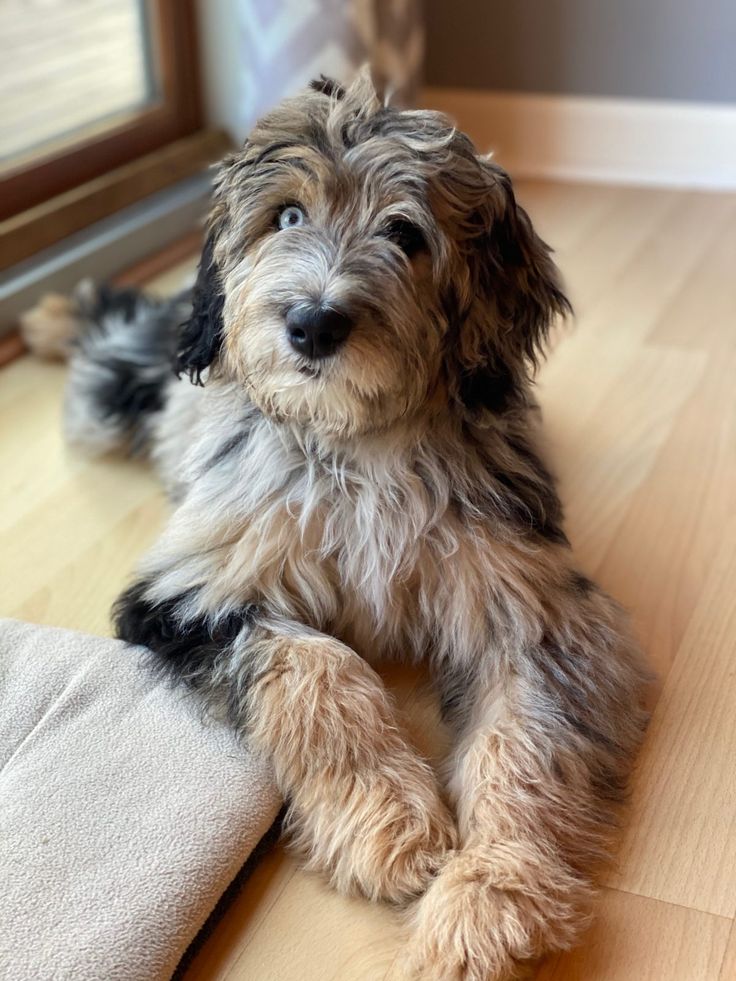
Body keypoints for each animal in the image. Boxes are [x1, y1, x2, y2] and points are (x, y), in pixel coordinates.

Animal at [27, 71, 648, 980]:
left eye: (406, 233)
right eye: (287, 216)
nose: (313, 323)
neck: (357, 441)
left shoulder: (535, 613)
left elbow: (526, 743)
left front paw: (490, 895)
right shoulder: (196, 586)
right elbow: (319, 666)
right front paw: (391, 824)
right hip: (120, 395)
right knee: (111, 330)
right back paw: (48, 318)